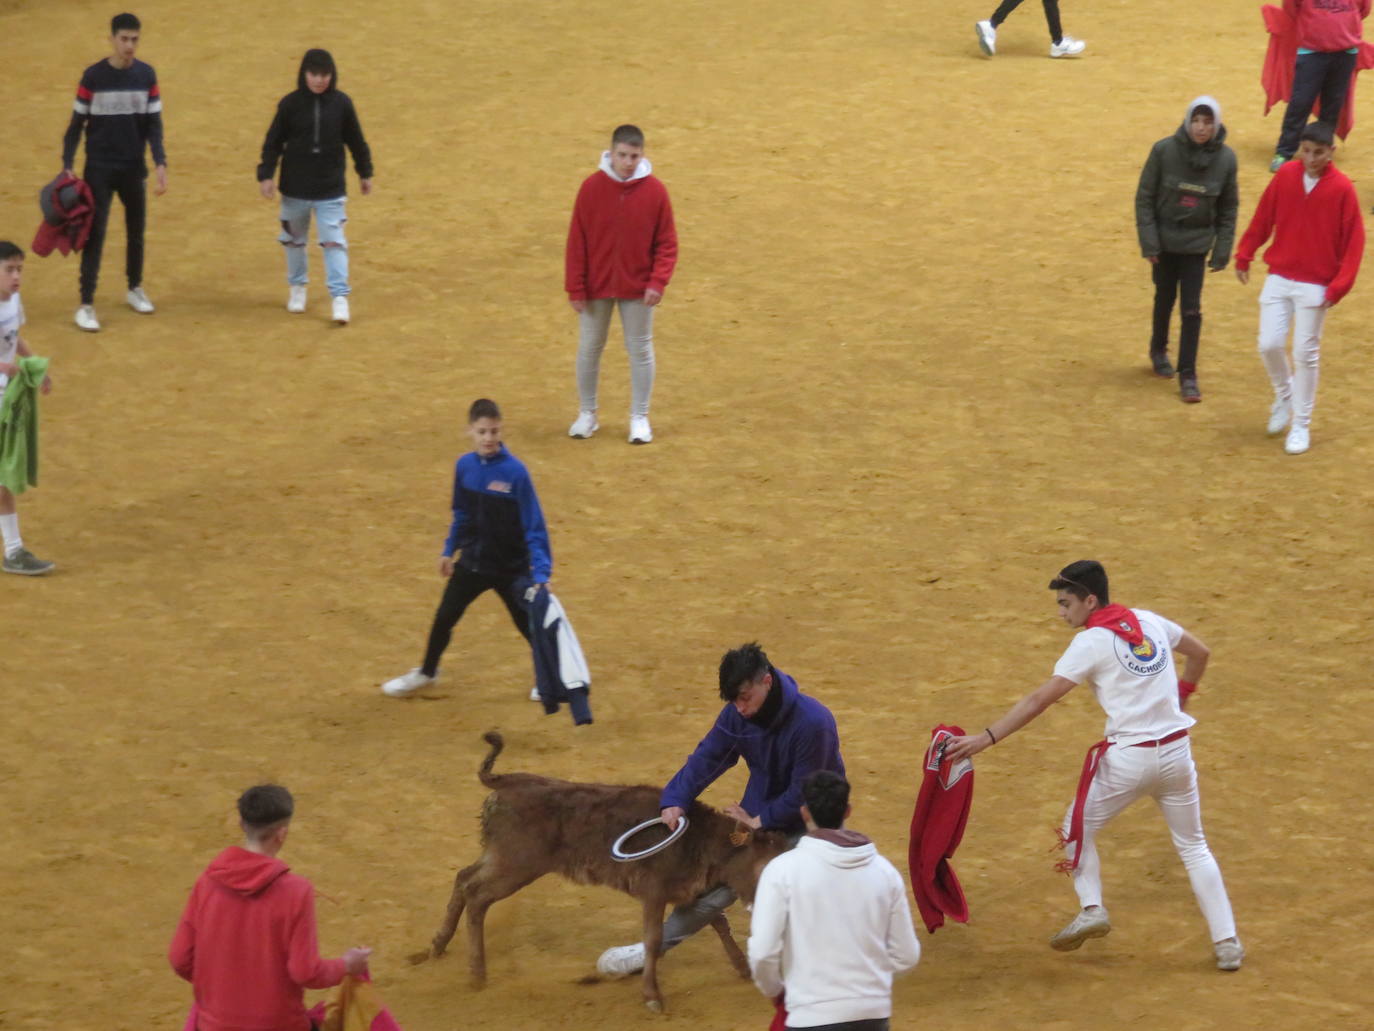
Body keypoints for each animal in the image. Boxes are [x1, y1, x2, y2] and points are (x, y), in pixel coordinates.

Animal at [417, 731, 785, 1011]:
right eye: (765, 865)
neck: (700, 839)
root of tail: (506, 782)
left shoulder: (688, 892)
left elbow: (717, 922)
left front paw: (742, 967)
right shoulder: (654, 892)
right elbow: (654, 939)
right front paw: (653, 997)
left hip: (499, 858)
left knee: (464, 878)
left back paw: (438, 945)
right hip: (516, 865)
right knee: (477, 897)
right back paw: (477, 972)